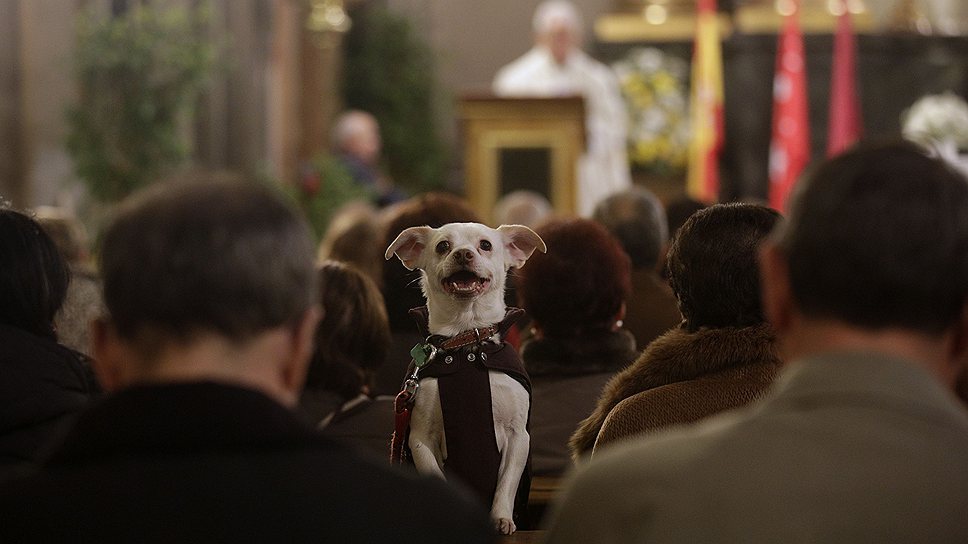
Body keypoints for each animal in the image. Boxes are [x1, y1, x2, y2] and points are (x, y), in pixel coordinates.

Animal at [388, 222, 552, 536]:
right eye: (443, 246)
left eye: (485, 245)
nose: (463, 253)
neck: (466, 342)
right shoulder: (420, 439)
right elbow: (439, 479)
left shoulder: (518, 437)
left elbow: (506, 485)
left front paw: (501, 518)